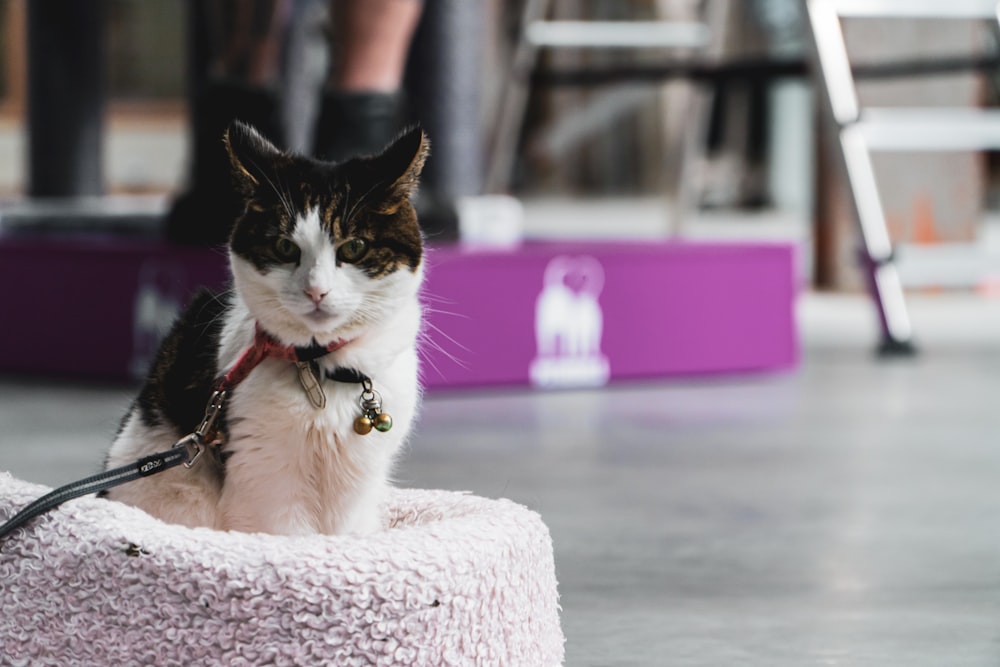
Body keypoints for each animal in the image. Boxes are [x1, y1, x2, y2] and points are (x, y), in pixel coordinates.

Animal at [103, 120, 428, 536]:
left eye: (354, 247)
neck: (321, 371)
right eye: (285, 248)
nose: (316, 290)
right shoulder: (267, 482)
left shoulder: (359, 484)